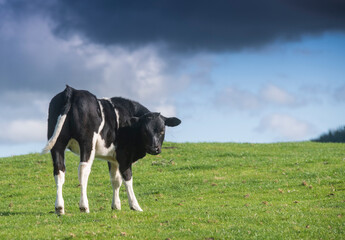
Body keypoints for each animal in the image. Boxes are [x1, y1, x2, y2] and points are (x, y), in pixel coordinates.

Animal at [41, 86, 180, 214]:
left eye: (162, 130)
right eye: (145, 131)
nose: (154, 148)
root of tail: (73, 90)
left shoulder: (113, 158)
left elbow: (115, 180)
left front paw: (116, 206)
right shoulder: (124, 155)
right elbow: (127, 177)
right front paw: (135, 206)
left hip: (57, 143)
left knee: (59, 170)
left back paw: (59, 207)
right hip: (87, 142)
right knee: (83, 170)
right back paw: (84, 206)